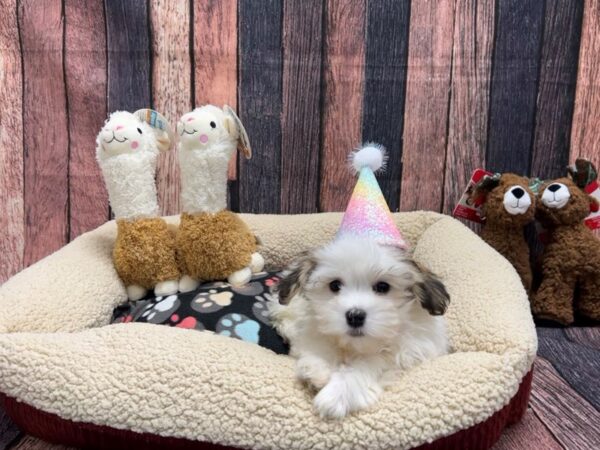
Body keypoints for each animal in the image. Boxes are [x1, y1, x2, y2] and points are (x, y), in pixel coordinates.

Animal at [270, 236, 448, 418]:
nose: (355, 316)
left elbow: (375, 362)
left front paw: (336, 394)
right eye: (335, 285)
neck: (355, 346)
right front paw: (316, 369)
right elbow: (320, 344)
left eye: (383, 287)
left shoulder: (409, 350)